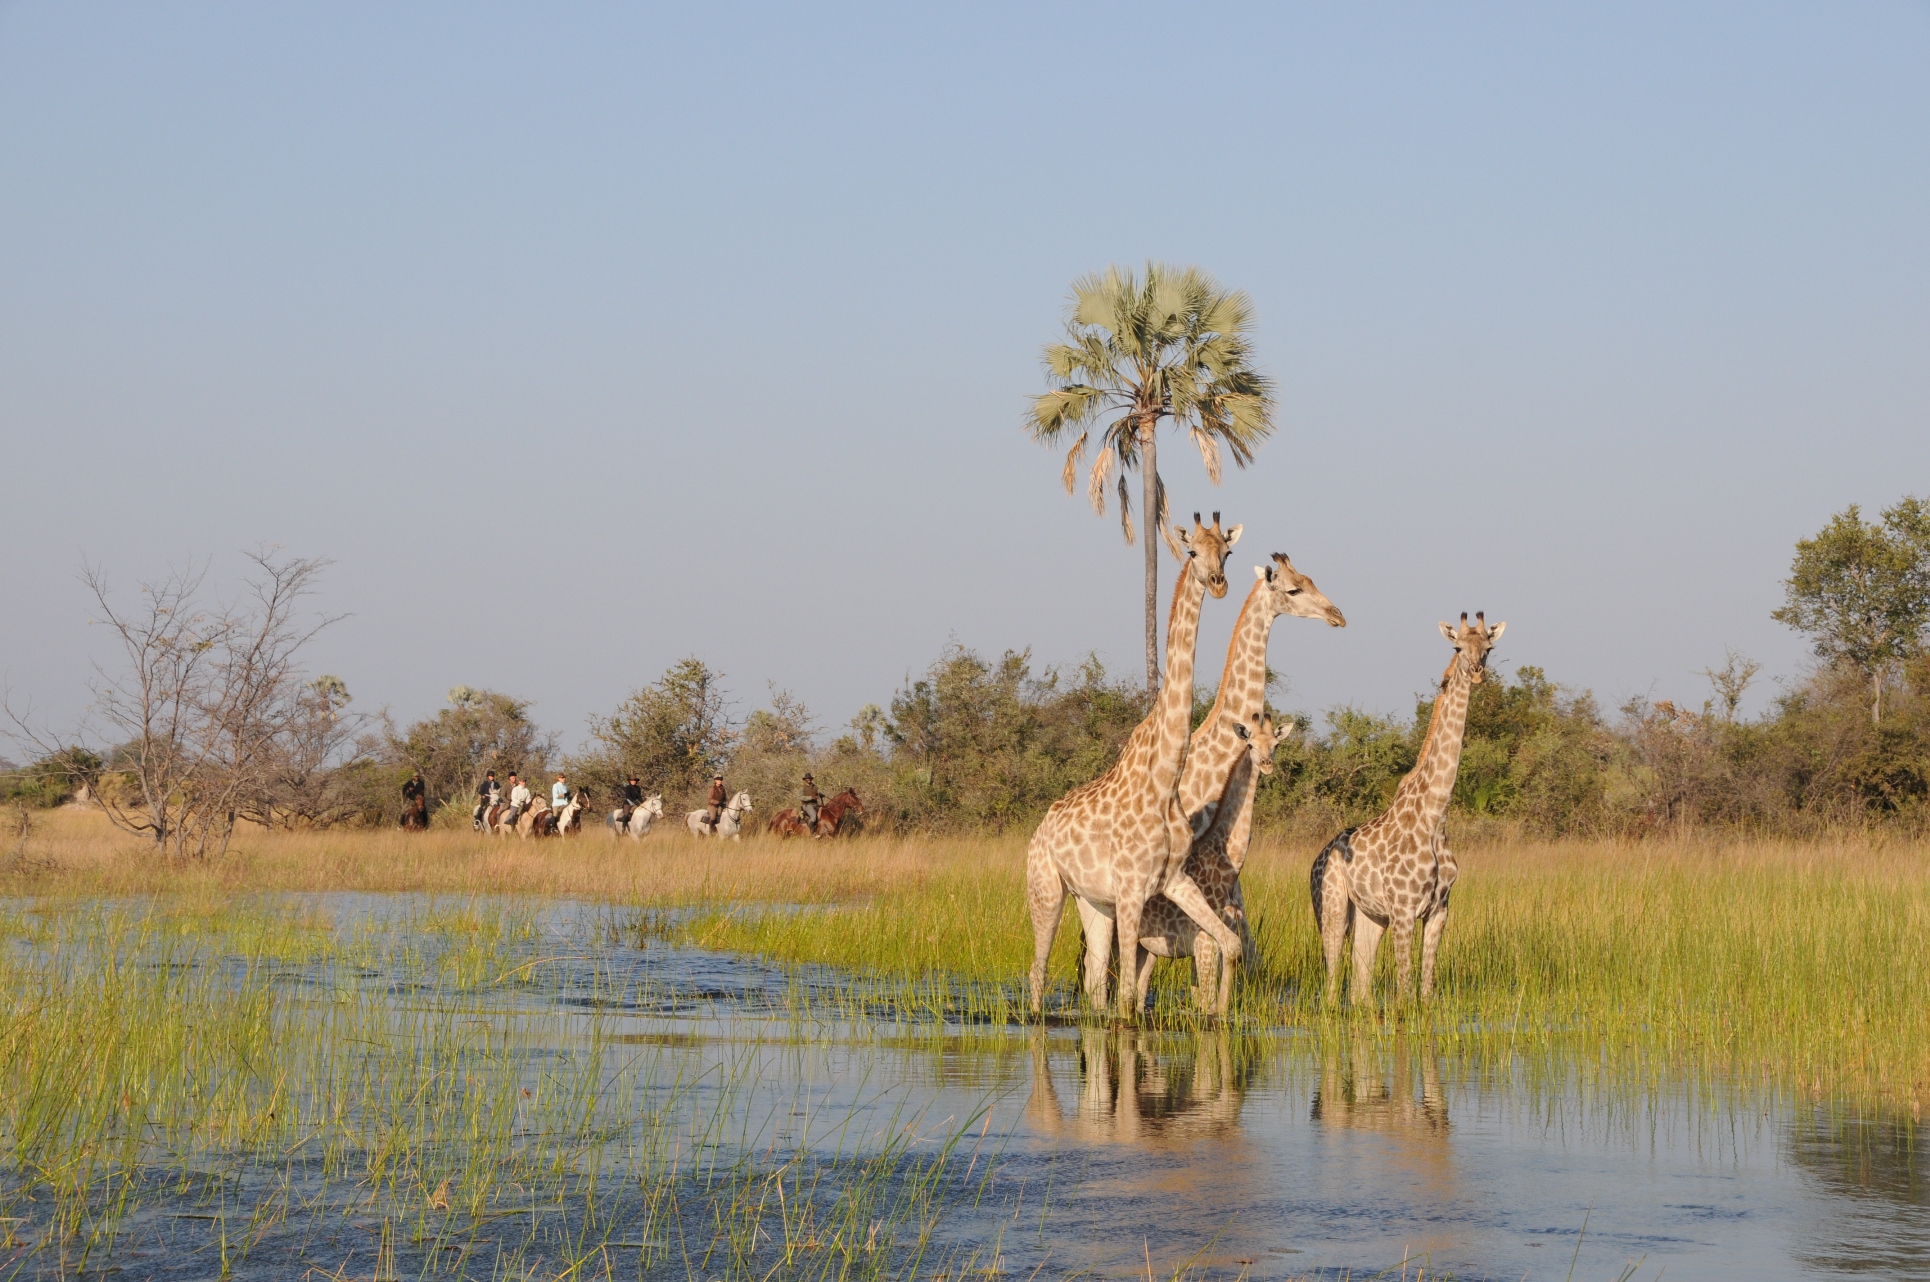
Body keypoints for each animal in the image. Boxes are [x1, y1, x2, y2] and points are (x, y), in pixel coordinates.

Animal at [1034, 505, 1242, 1019]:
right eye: (1192, 551)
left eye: (1227, 552)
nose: (1218, 583)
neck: (1166, 780)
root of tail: (1042, 825)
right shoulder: (1131, 892)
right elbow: (1129, 998)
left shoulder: (1171, 880)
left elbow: (1229, 945)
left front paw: (1220, 1015)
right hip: (1046, 887)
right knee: (1038, 971)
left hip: (1093, 904)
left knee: (1093, 983)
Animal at [1134, 710, 1289, 1011]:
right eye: (1250, 744)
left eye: (1275, 745)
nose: (1266, 765)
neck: (1223, 862)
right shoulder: (1203, 942)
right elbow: (1207, 1003)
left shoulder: (1212, 943)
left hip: (1147, 948)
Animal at [1312, 606, 1505, 1003]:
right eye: (1458, 648)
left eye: (1489, 649)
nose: (1477, 672)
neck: (1435, 816)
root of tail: (1315, 860)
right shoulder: (1403, 910)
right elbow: (1404, 991)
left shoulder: (1439, 911)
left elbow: (1426, 990)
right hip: (1332, 908)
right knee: (1332, 982)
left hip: (1371, 918)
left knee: (1360, 987)